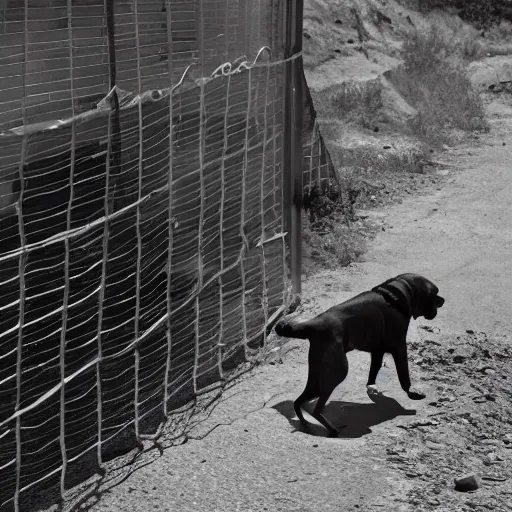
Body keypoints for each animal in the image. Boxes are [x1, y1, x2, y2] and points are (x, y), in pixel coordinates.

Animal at [276, 272, 444, 436]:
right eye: (435, 293)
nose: (443, 300)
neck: (395, 295)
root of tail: (313, 325)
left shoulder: (377, 351)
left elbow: (374, 370)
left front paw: (372, 387)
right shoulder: (399, 347)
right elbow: (404, 376)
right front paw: (411, 393)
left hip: (317, 376)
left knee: (298, 401)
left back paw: (305, 424)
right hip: (337, 372)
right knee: (316, 409)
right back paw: (331, 429)